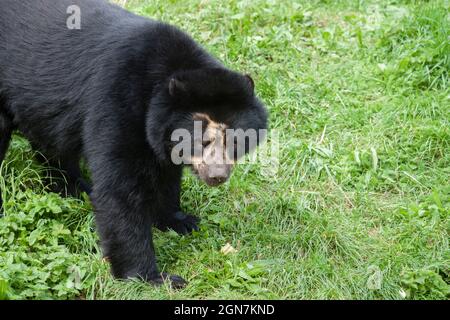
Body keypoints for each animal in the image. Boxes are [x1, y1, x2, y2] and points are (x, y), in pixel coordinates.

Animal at [0, 0, 268, 286]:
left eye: (235, 140)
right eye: (202, 140)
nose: (217, 176)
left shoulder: (158, 138)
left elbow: (165, 176)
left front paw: (181, 221)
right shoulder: (116, 102)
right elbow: (120, 190)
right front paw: (154, 277)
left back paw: (74, 187)